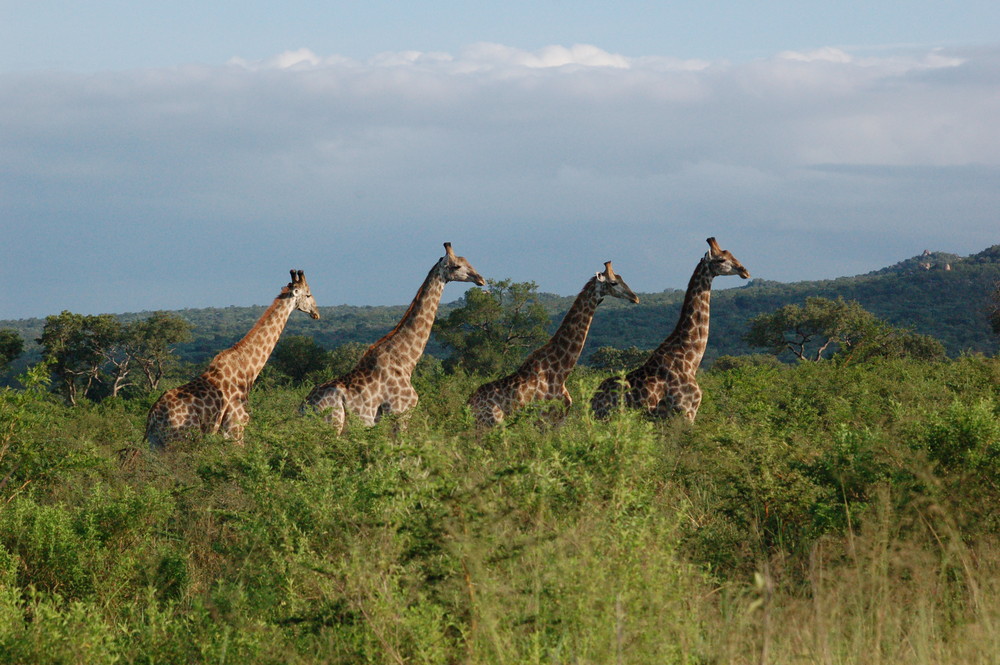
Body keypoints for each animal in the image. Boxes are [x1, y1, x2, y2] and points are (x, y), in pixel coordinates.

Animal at [145, 268, 320, 448]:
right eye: (308, 294)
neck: (247, 368)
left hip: (157, 444)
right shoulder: (235, 425)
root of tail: (153, 417)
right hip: (180, 440)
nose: (316, 313)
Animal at [300, 241, 484, 434]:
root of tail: (304, 407)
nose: (481, 279)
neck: (406, 360)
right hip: (333, 423)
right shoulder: (399, 413)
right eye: (457, 266)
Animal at [468, 260, 640, 426]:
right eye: (613, 283)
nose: (635, 298)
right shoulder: (543, 420)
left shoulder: (559, 421)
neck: (561, 372)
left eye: (621, 278)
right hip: (490, 424)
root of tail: (469, 404)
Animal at [588, 237, 748, 420]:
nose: (744, 271)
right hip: (608, 417)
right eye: (721, 259)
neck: (690, 359)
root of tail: (593, 401)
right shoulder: (685, 411)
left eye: (731, 254)